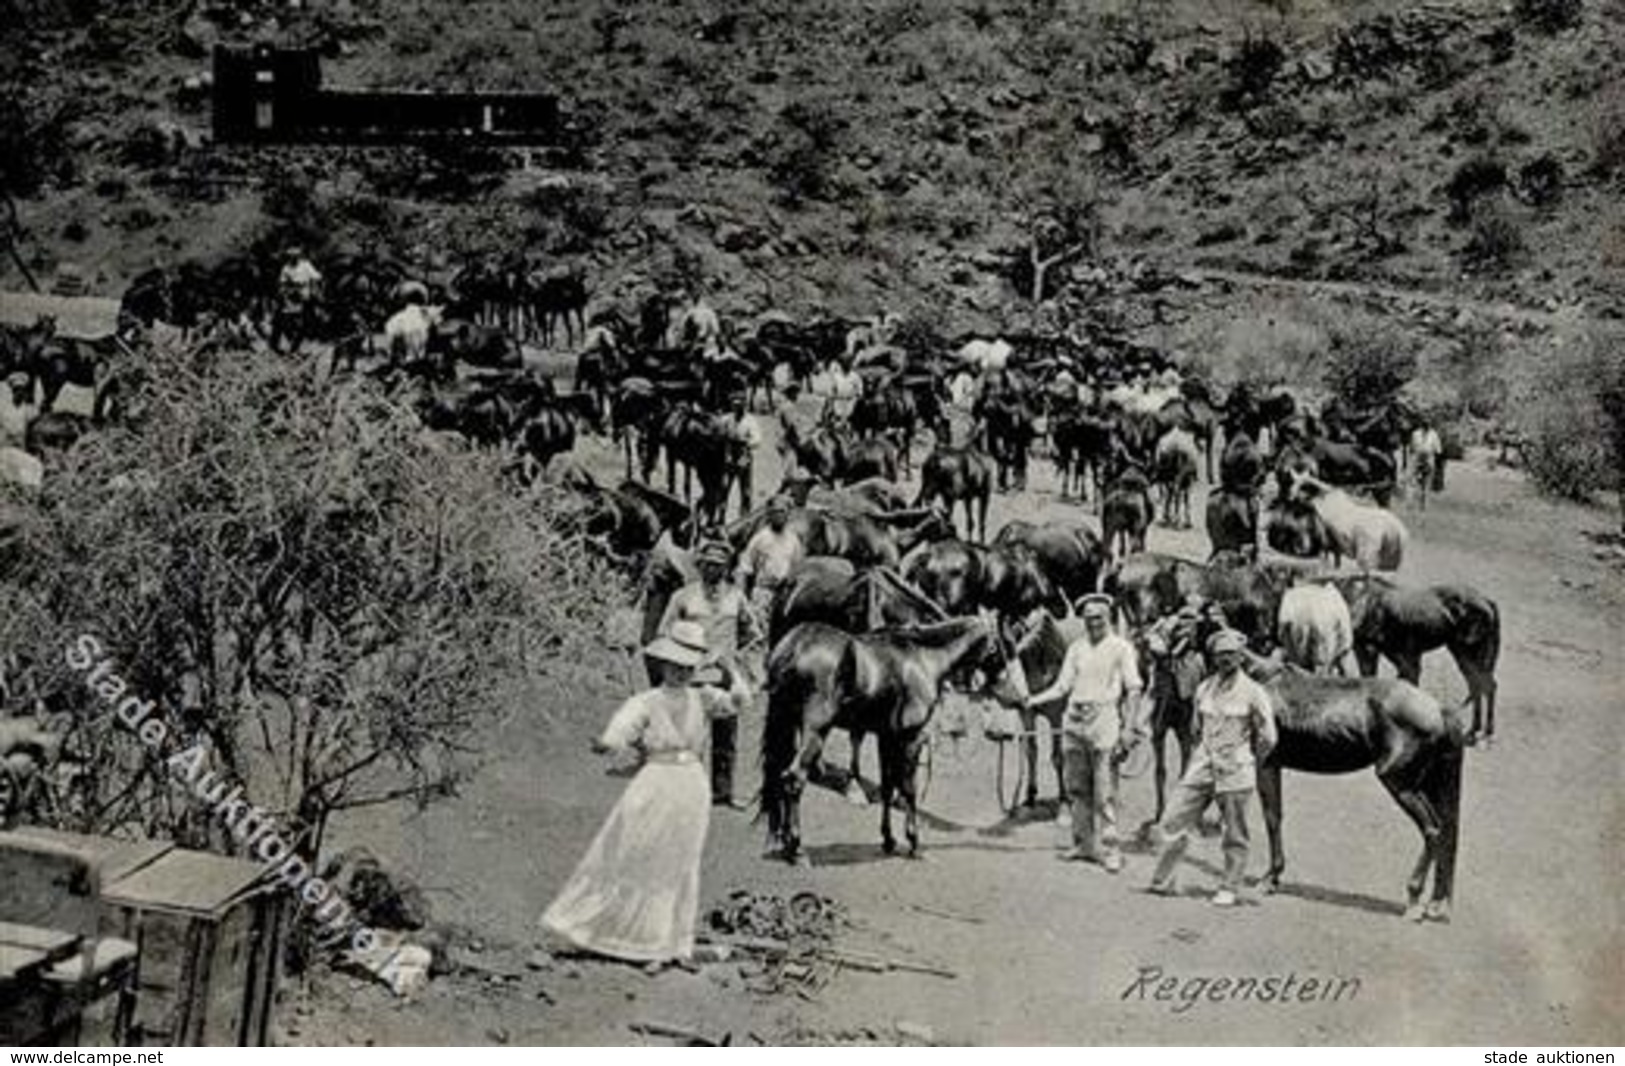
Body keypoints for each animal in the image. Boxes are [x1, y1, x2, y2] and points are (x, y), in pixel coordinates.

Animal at [757, 617, 1014, 858]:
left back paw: (782, 841)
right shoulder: (911, 738)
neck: (923, 657)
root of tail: (796, 645)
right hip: (816, 732)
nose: (1007, 686)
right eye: (999, 643)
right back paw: (796, 847)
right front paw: (913, 841)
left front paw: (889, 839)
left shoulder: (887, 737)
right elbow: (909, 788)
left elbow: (888, 787)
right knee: (794, 779)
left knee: (779, 775)